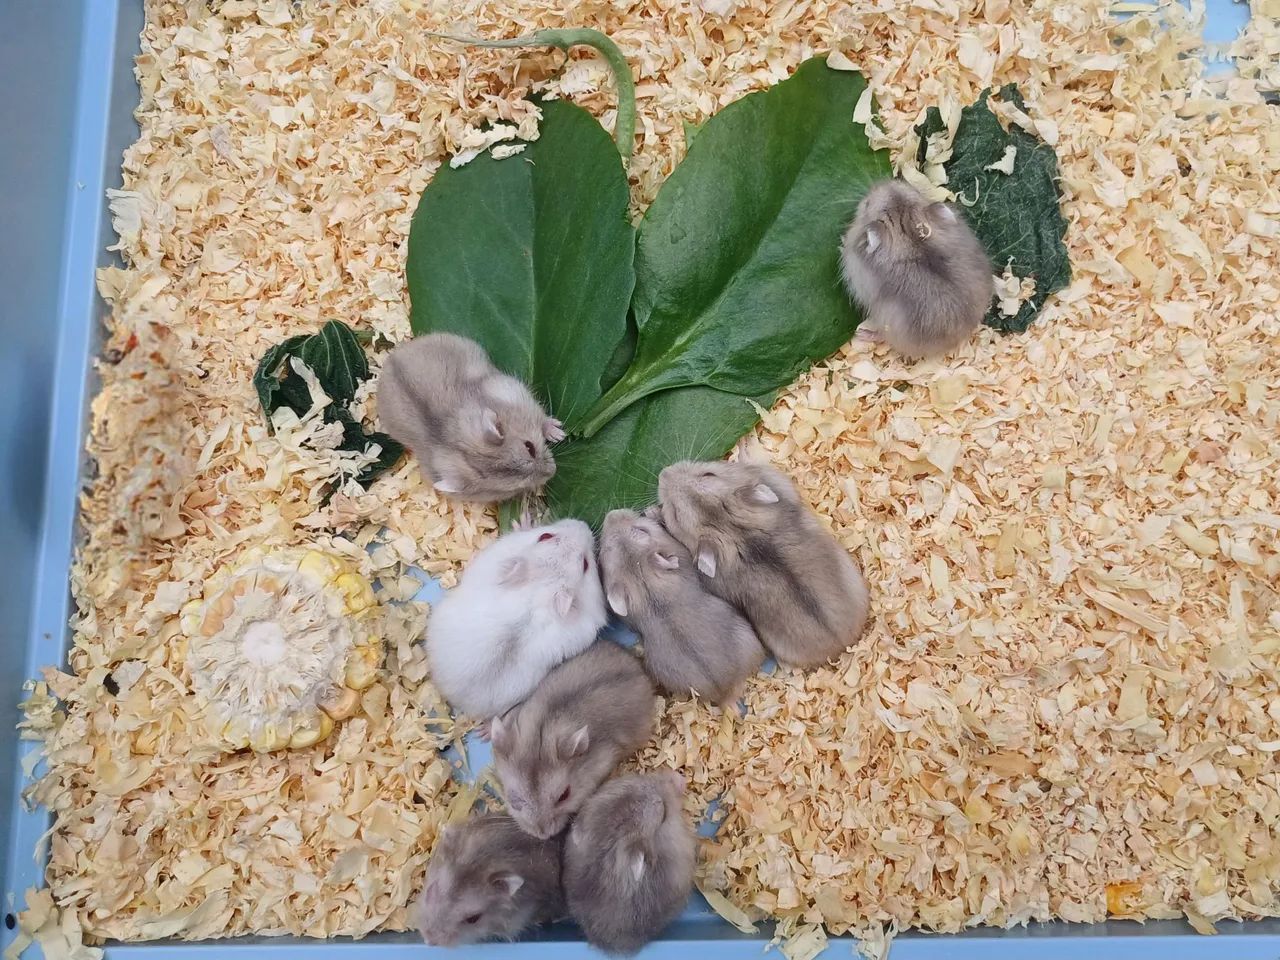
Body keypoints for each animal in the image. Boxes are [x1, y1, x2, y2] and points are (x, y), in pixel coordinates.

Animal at [377, 332, 562, 502]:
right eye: (513, 489)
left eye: (530, 447)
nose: (554, 470)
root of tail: (392, 356)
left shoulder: (513, 391)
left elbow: (541, 417)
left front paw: (559, 433)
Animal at [839, 179, 994, 359]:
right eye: (915, 189)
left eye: (867, 204)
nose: (879, 183)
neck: (907, 234)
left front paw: (841, 242)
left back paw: (862, 334)